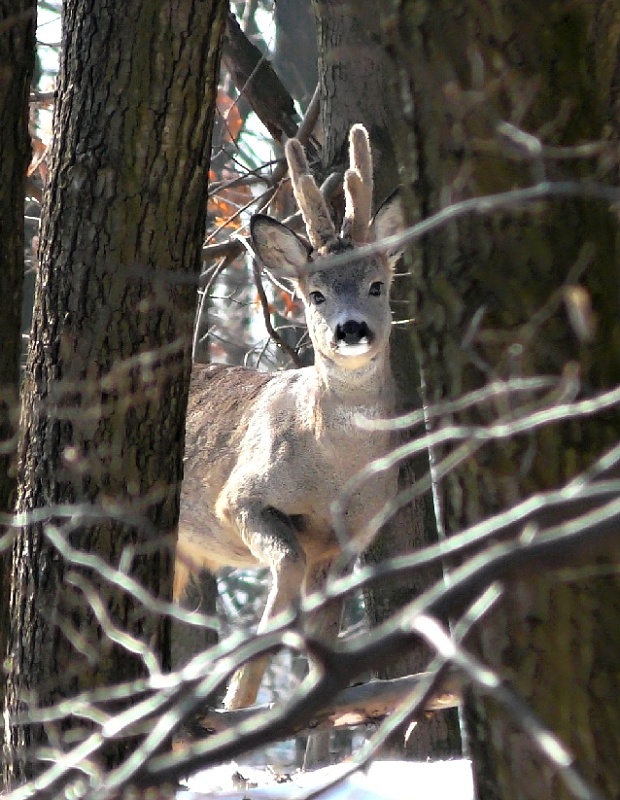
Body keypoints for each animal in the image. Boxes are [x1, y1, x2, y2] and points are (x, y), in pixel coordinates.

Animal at [174, 125, 402, 712]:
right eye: (314, 293)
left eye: (377, 285)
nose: (351, 329)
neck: (331, 475)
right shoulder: (240, 498)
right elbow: (286, 580)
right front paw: (238, 702)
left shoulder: (351, 538)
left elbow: (326, 623)